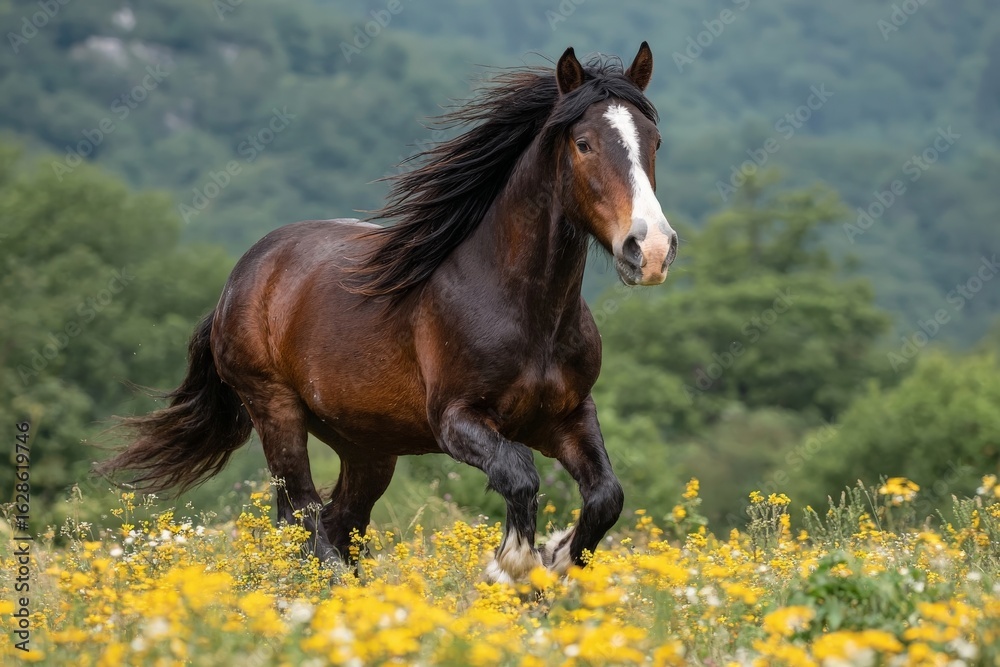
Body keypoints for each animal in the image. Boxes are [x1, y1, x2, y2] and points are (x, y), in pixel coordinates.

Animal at [97, 42, 677, 585]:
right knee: (303, 517)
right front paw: (513, 565)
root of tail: (239, 279)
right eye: (584, 143)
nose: (649, 251)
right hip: (275, 410)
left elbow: (605, 496)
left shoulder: (569, 415)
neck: (525, 309)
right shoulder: (457, 419)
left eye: (654, 141)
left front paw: (556, 562)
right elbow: (519, 474)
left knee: (339, 521)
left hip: (367, 446)